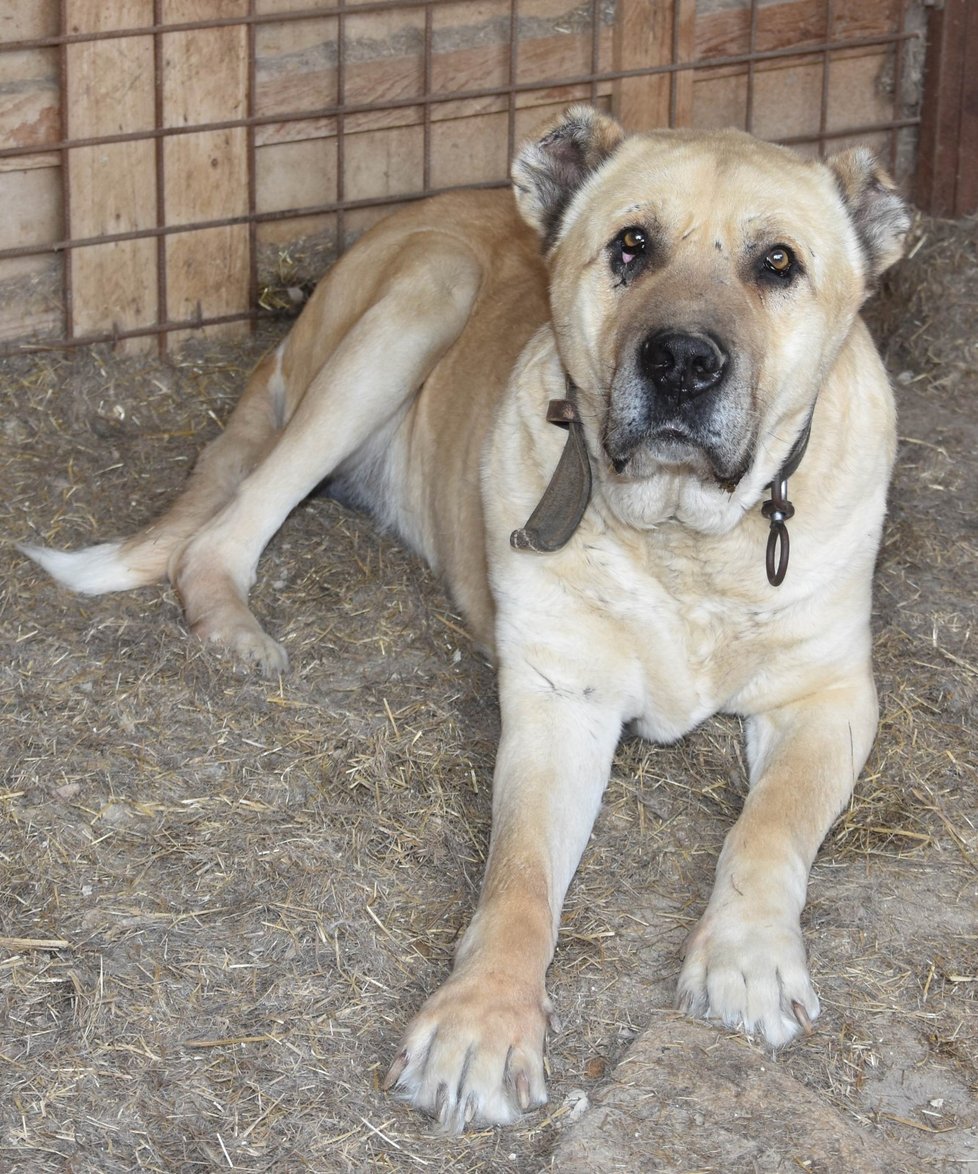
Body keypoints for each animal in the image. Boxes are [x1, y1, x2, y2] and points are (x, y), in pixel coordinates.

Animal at [20, 108, 906, 1127]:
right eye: (632, 245)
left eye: (778, 263)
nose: (682, 361)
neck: (683, 540)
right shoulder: (560, 702)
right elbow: (517, 875)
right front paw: (484, 1019)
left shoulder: (828, 697)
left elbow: (769, 827)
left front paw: (749, 957)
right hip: (416, 302)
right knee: (219, 533)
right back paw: (235, 629)